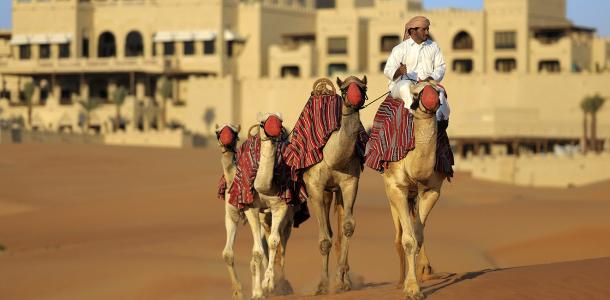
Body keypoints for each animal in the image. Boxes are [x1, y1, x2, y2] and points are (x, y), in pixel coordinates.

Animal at [294, 75, 366, 292]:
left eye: (363, 86)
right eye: (344, 89)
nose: (356, 98)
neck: (332, 155)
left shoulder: (350, 182)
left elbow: (348, 227)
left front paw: (341, 280)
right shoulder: (315, 187)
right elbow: (325, 240)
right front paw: (322, 285)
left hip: (337, 191)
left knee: (339, 230)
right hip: (323, 192)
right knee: (328, 230)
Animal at [380, 82, 446, 300]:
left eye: (438, 89)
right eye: (416, 93)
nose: (431, 100)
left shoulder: (432, 190)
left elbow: (418, 237)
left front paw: (417, 283)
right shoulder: (397, 188)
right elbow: (408, 240)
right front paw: (411, 289)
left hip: (414, 197)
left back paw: (425, 270)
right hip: (391, 195)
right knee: (398, 236)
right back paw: (400, 281)